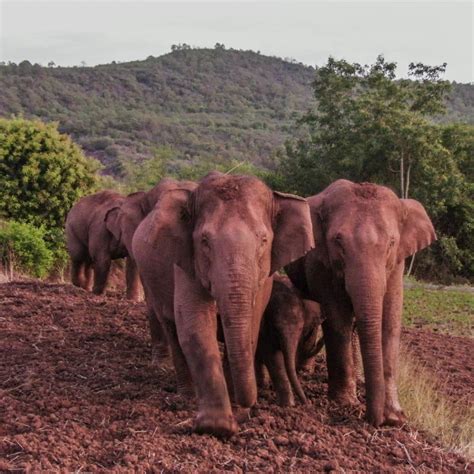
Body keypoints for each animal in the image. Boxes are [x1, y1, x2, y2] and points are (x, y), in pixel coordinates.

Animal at [131, 171, 314, 436]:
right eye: (204, 241)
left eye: (264, 240)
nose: (247, 407)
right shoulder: (187, 261)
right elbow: (195, 325)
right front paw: (217, 426)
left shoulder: (265, 276)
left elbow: (251, 326)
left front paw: (235, 410)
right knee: (171, 327)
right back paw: (186, 396)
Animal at [286, 180, 436, 428]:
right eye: (338, 241)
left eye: (392, 242)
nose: (376, 421)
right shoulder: (320, 262)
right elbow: (337, 320)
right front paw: (345, 403)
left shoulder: (397, 264)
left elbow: (390, 321)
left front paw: (395, 416)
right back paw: (306, 370)